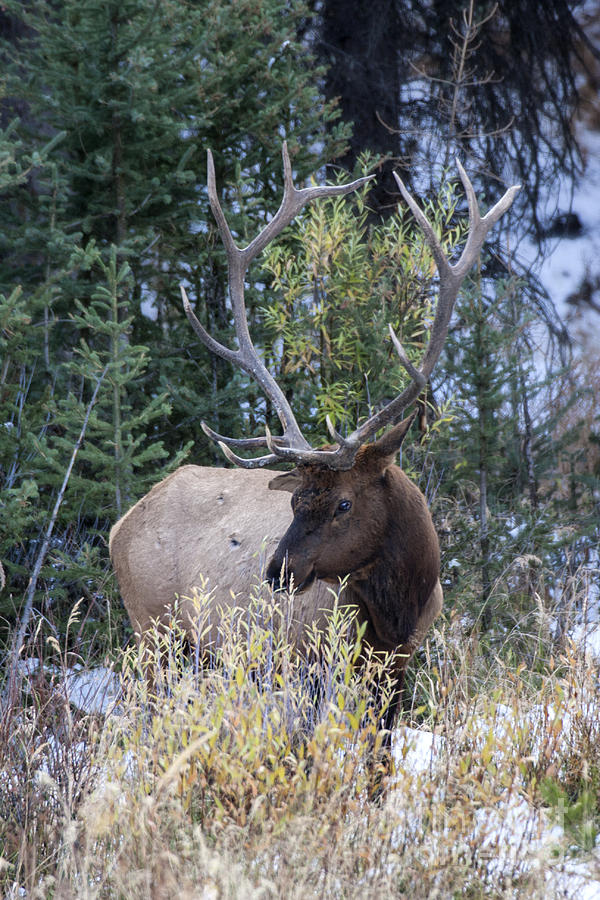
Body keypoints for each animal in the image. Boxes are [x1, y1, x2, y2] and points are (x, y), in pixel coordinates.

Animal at [106, 144, 516, 740]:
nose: (276, 571)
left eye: (343, 502)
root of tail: (118, 526)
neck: (400, 608)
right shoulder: (314, 660)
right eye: (296, 501)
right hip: (154, 633)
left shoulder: (398, 665)